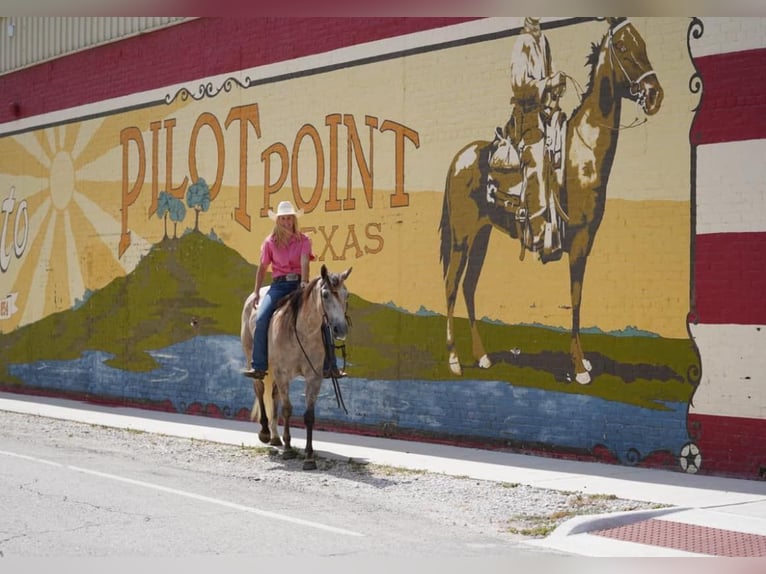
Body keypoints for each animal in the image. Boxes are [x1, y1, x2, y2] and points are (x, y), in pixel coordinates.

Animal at [240, 266, 354, 472]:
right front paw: (288, 449)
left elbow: (309, 416)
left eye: (346, 294)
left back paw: (275, 437)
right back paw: (265, 433)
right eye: (325, 294)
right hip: (254, 360)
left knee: (273, 395)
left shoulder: (313, 378)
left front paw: (309, 457)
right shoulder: (283, 374)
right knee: (259, 389)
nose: (340, 329)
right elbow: (287, 409)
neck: (302, 331)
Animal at [440, 18, 664, 388]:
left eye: (643, 43)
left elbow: (578, 296)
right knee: (450, 285)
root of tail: (459, 159)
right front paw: (579, 368)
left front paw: (583, 362)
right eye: (622, 46)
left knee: (469, 286)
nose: (654, 94)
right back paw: (455, 360)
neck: (582, 153)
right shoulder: (580, 240)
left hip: (482, 236)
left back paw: (483, 357)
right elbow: (574, 298)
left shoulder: (588, 240)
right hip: (461, 237)